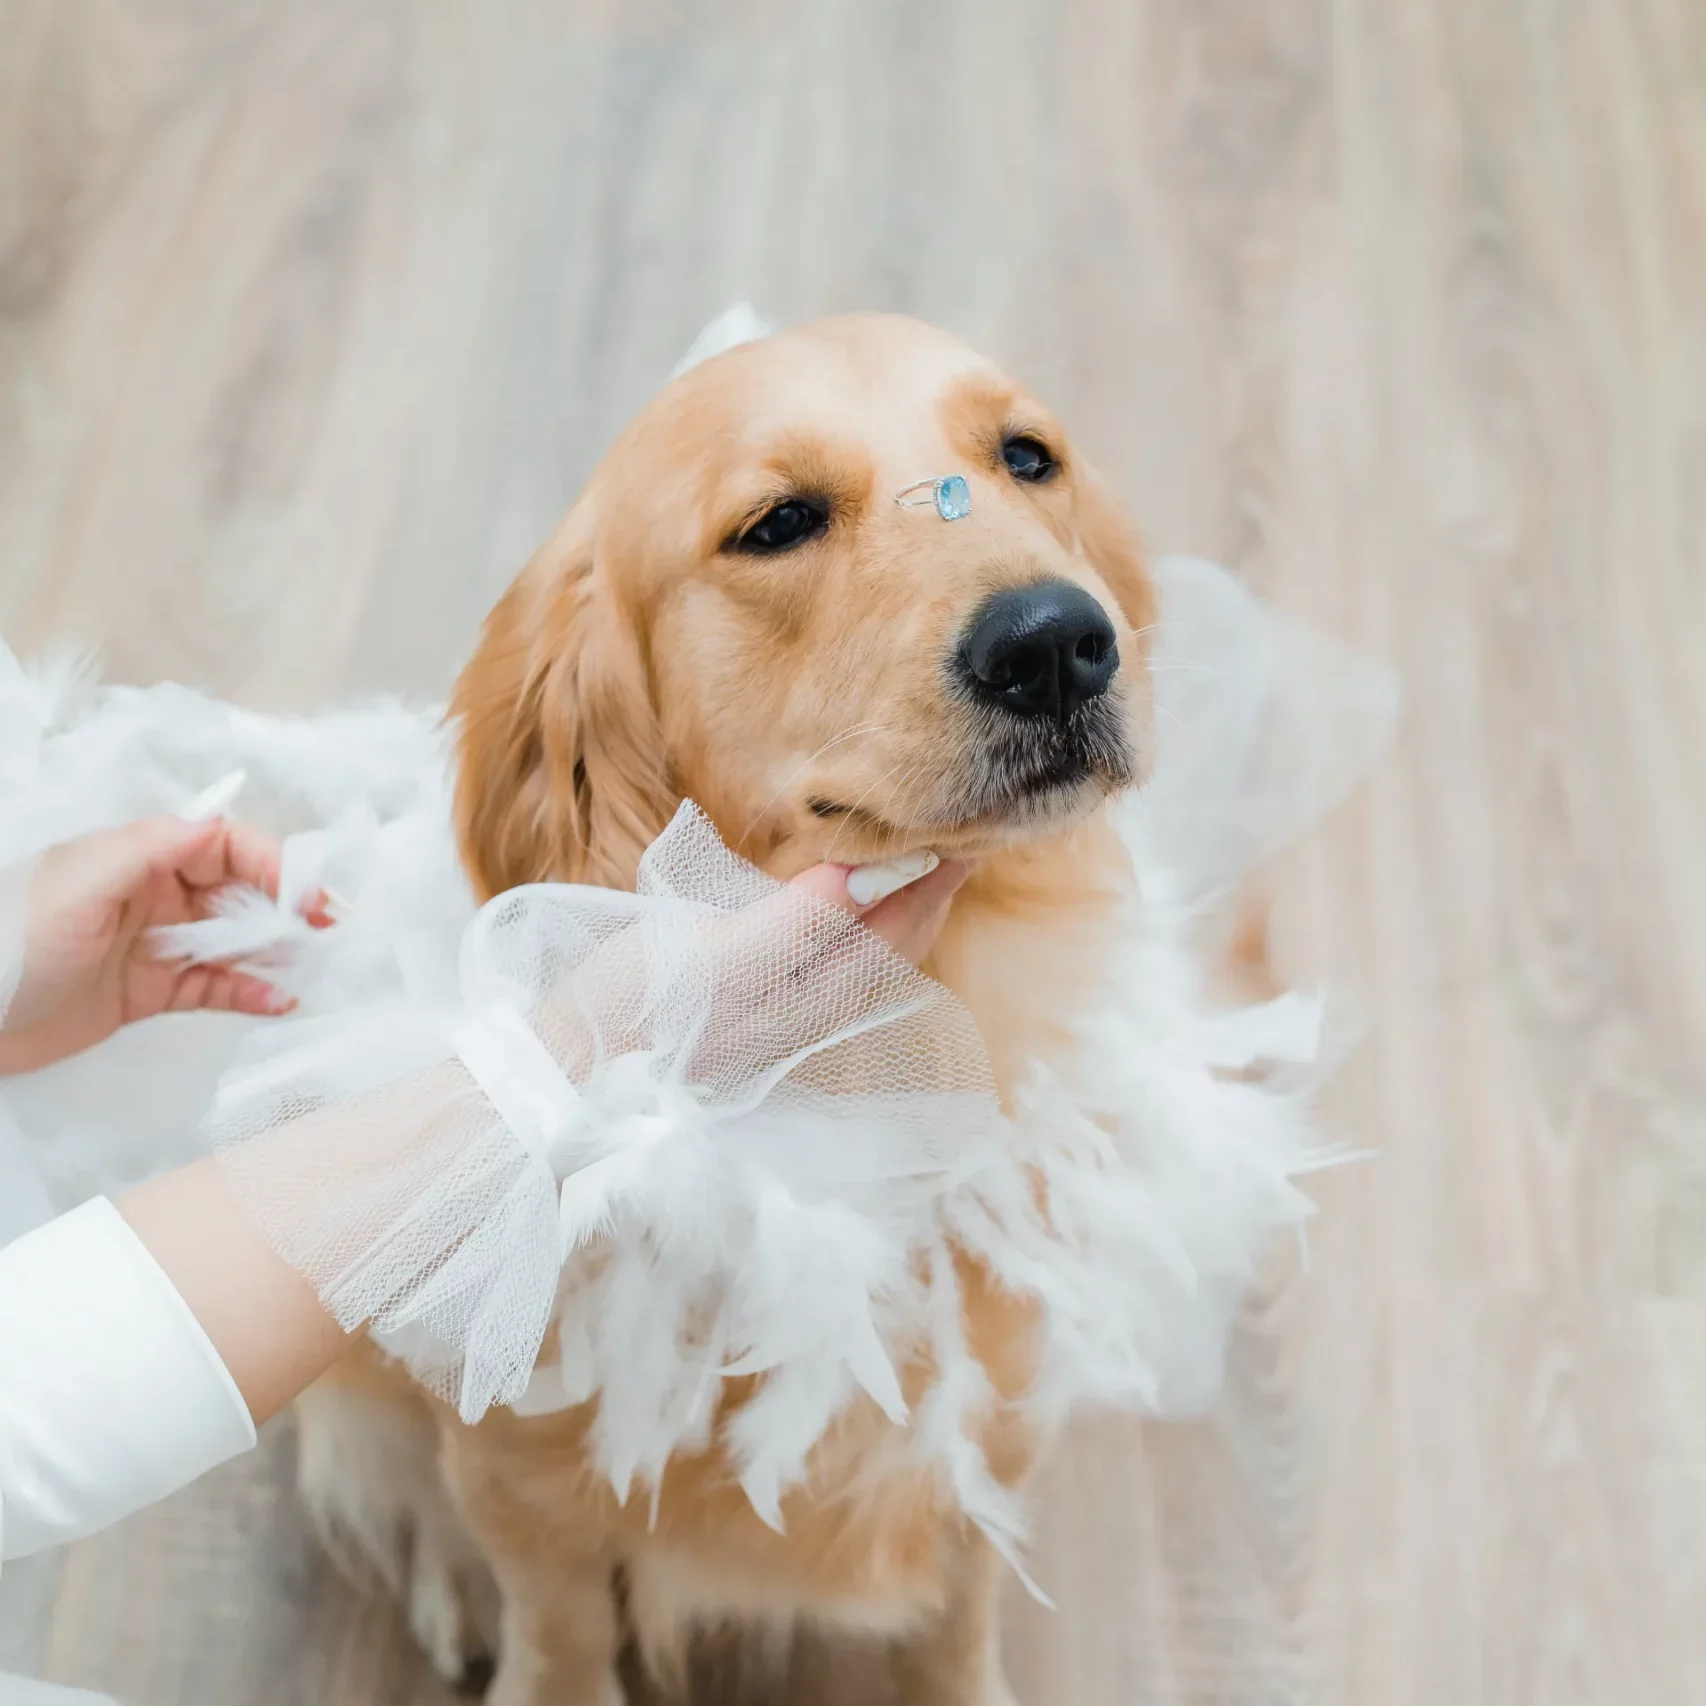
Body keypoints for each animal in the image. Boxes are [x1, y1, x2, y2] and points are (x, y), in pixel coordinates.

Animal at [300, 317, 1166, 1706]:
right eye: (777, 523)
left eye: (1030, 456)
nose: (1054, 642)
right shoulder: (527, 1478)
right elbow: (554, 1630)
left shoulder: (987, 1425)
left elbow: (955, 1620)